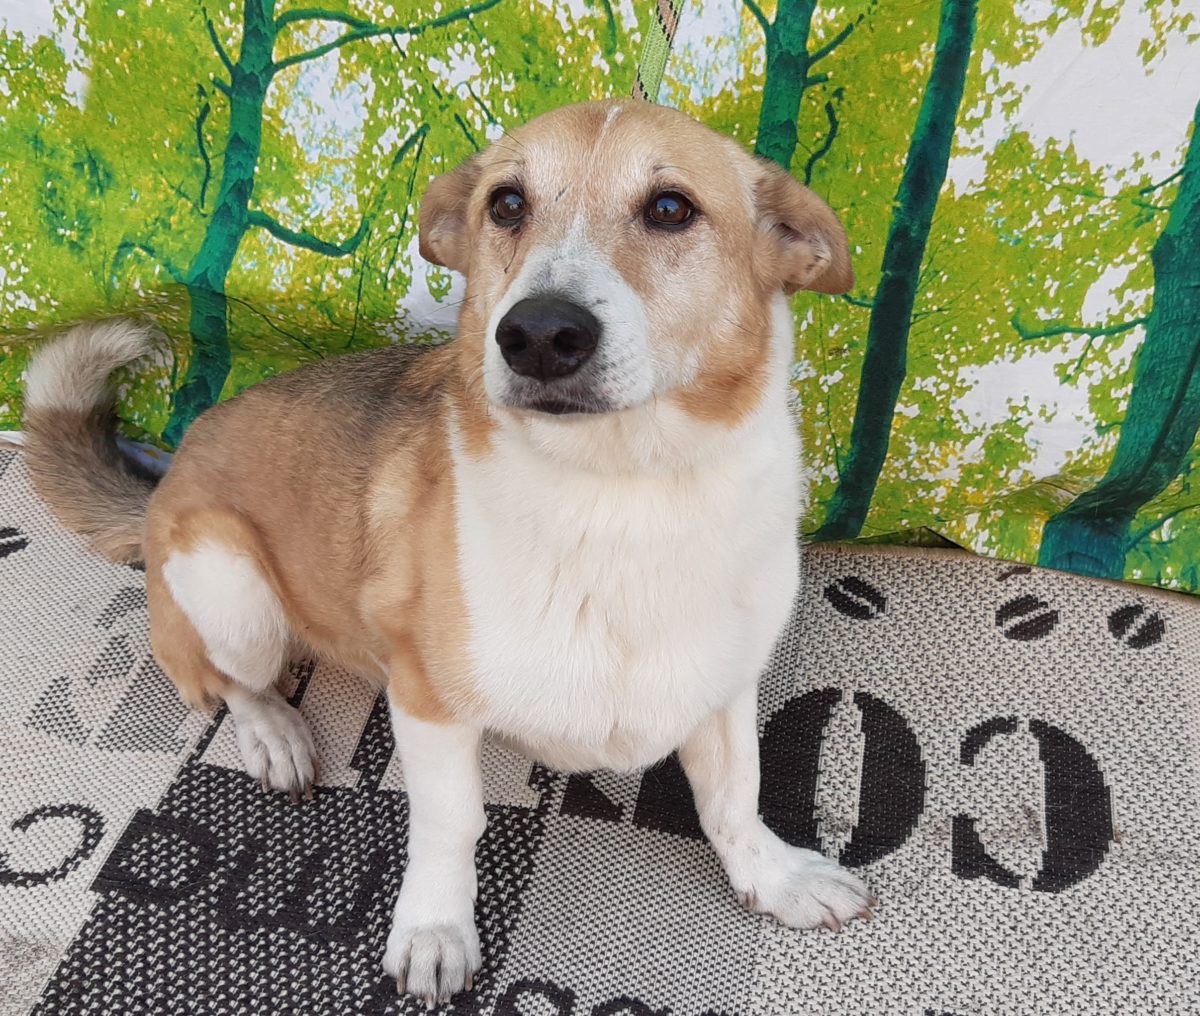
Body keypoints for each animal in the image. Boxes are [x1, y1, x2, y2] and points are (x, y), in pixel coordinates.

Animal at [22, 99, 870, 1004]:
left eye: (671, 208)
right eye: (507, 204)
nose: (538, 333)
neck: (622, 497)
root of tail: (166, 478)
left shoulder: (724, 682)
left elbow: (735, 795)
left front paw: (773, 876)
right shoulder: (428, 700)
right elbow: (451, 823)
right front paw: (434, 929)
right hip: (229, 589)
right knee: (224, 684)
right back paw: (274, 732)